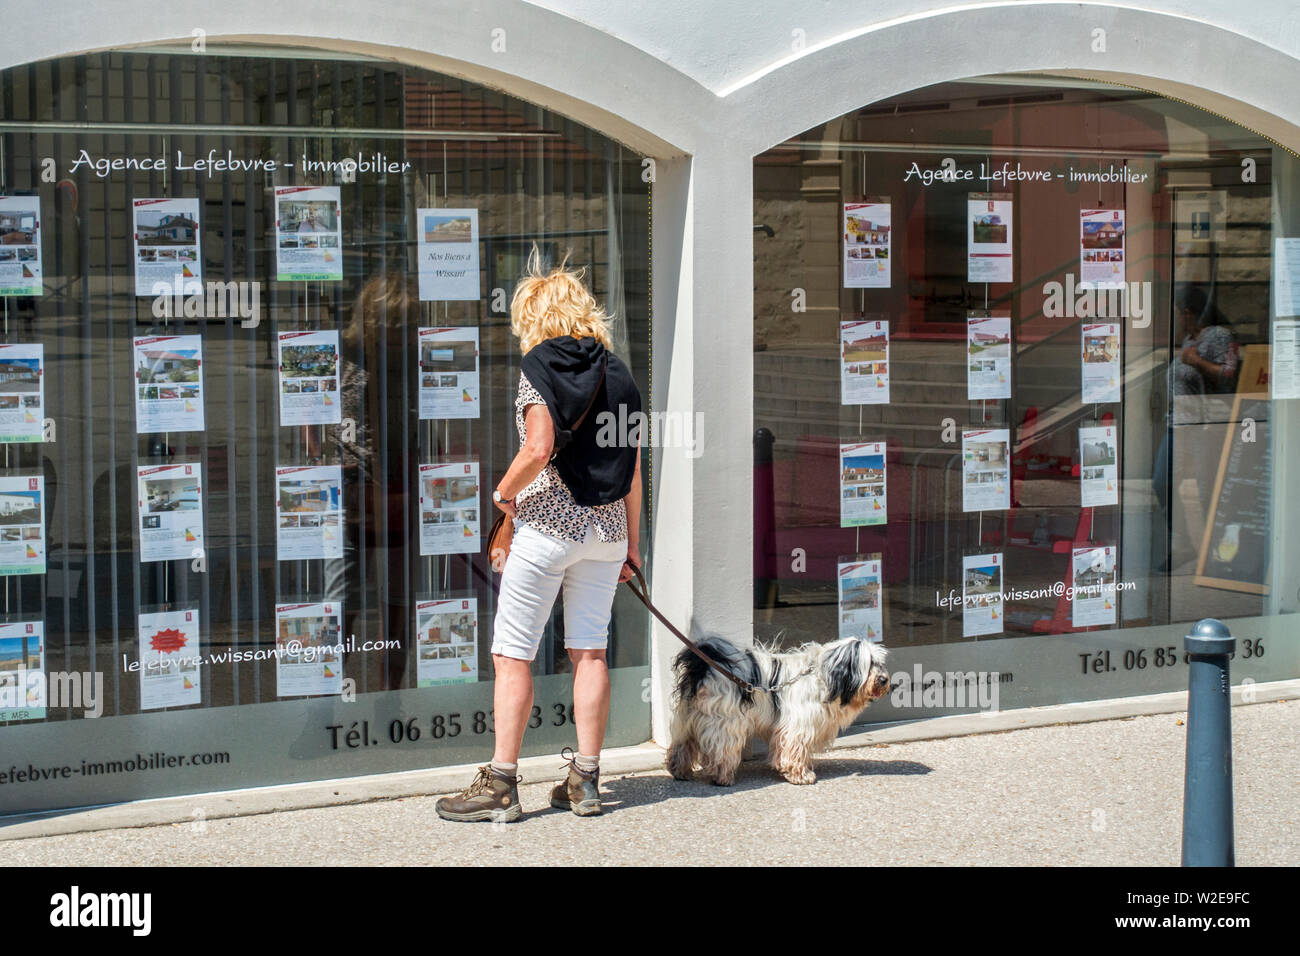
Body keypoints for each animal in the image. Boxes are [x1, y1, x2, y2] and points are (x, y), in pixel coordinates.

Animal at [665, 639, 889, 790]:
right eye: (870, 663)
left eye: (879, 663)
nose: (884, 679)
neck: (823, 677)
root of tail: (704, 665)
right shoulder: (799, 726)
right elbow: (794, 750)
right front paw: (800, 775)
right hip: (724, 721)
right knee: (721, 750)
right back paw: (723, 777)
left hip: (688, 717)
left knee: (682, 746)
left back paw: (680, 771)